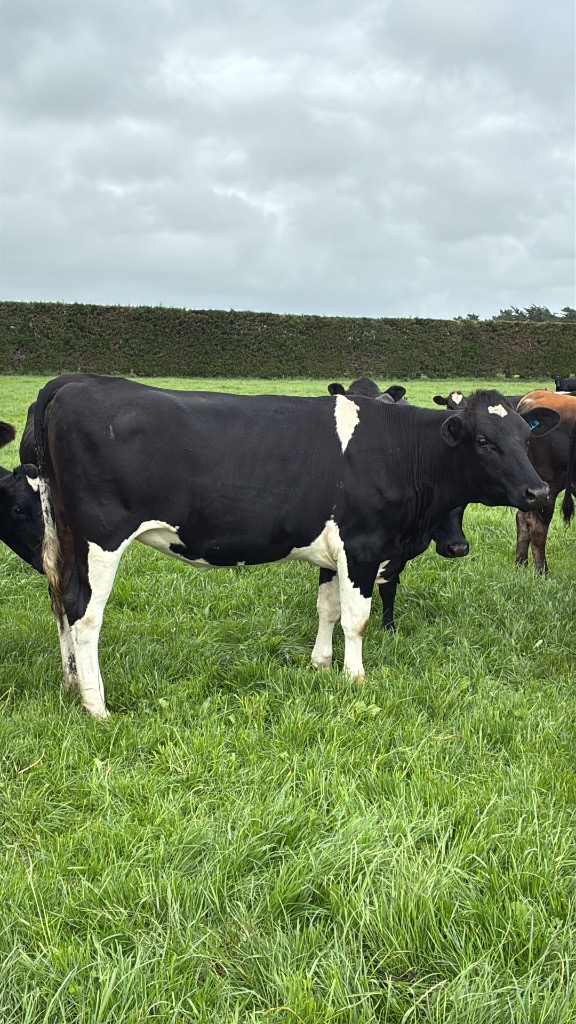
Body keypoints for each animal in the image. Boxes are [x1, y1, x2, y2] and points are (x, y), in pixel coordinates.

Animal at [34, 374, 558, 719]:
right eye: (484, 440)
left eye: (523, 436)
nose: (538, 492)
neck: (399, 448)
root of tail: (72, 385)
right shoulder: (361, 545)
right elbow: (356, 618)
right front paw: (355, 678)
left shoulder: (333, 550)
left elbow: (327, 608)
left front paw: (321, 665)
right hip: (100, 538)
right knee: (84, 615)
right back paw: (96, 704)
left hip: (64, 537)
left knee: (60, 599)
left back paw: (70, 683)